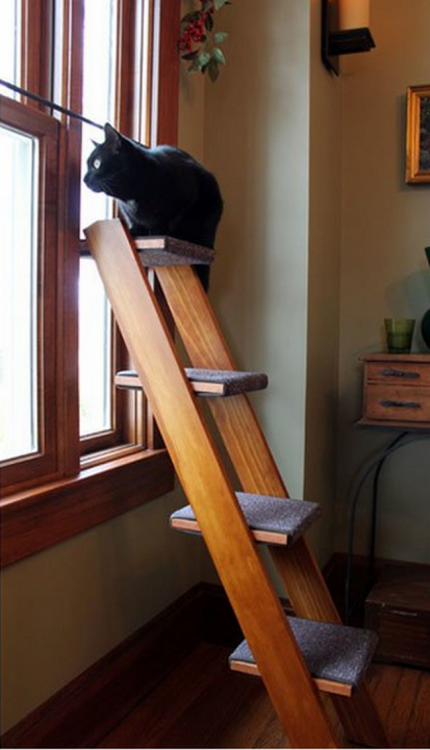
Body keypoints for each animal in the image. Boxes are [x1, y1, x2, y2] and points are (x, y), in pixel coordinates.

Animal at [84, 123, 225, 290]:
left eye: (96, 164)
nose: (84, 179)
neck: (130, 196)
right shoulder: (127, 211)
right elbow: (134, 221)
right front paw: (134, 231)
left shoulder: (187, 195)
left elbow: (169, 219)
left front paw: (158, 232)